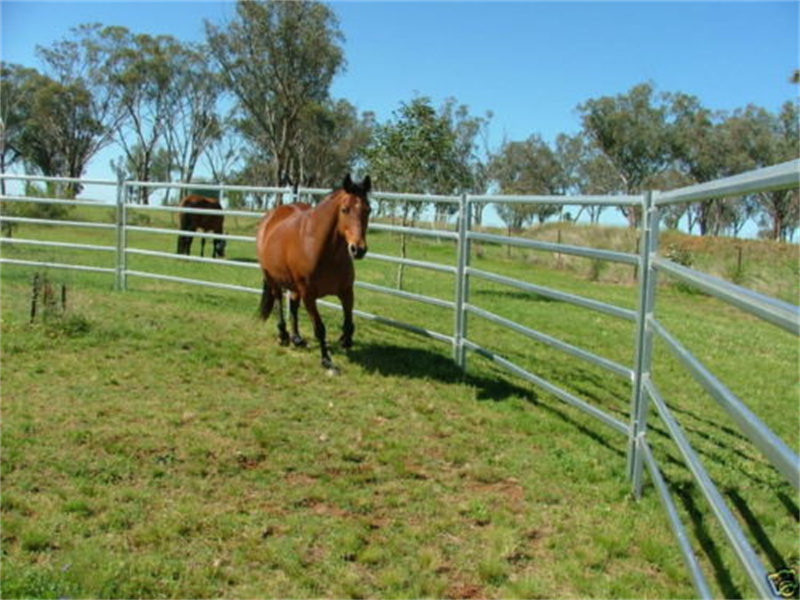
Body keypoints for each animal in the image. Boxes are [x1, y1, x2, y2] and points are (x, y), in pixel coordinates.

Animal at [258, 173, 374, 370]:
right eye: (345, 209)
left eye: (369, 210)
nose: (358, 249)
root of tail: (271, 217)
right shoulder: (309, 295)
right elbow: (320, 328)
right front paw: (326, 360)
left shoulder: (346, 291)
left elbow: (349, 322)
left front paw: (345, 340)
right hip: (272, 278)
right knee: (278, 301)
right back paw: (283, 335)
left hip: (293, 286)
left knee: (293, 305)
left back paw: (297, 338)